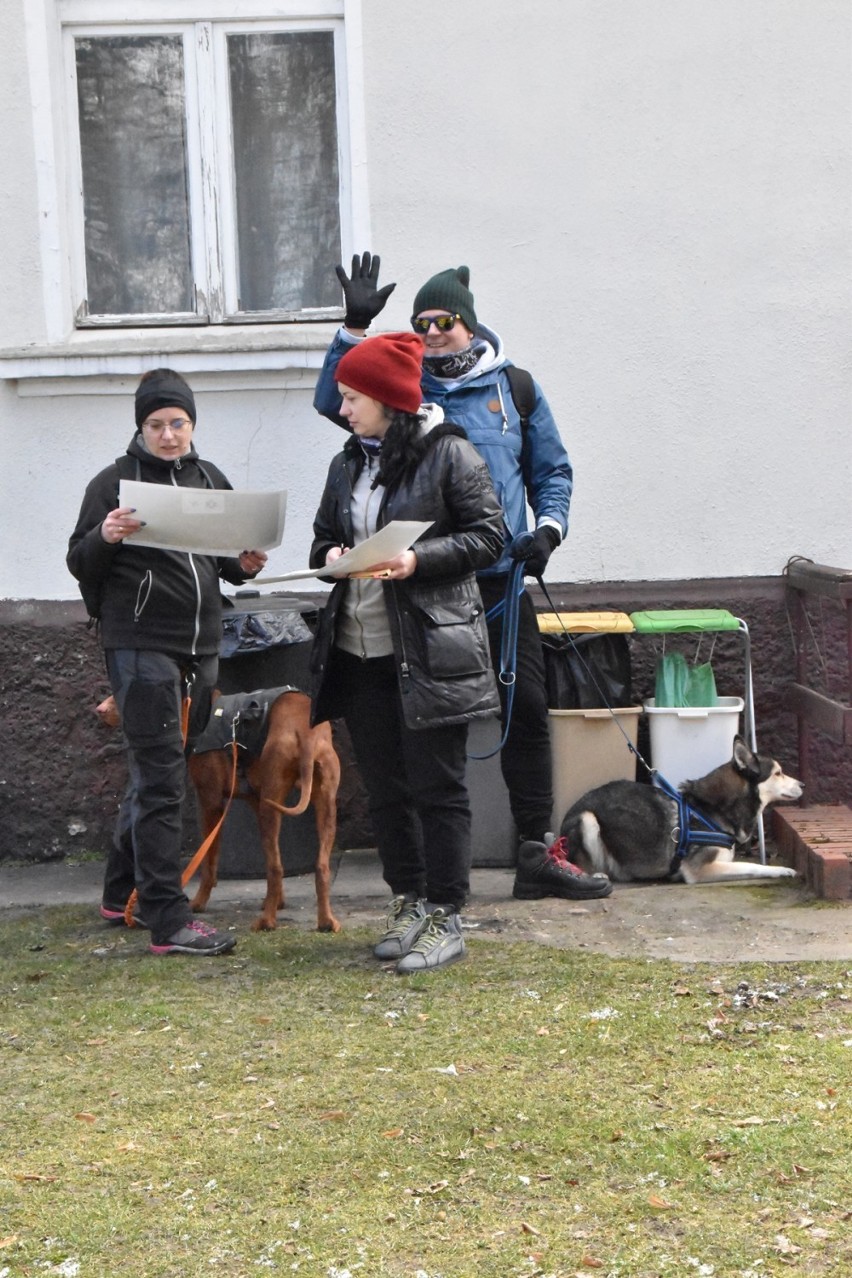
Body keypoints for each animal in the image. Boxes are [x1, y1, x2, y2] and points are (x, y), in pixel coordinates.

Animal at [95, 685, 342, 935]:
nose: (99, 709)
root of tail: (306, 731)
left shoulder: (210, 802)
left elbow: (209, 861)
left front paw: (198, 902)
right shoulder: (255, 801)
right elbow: (269, 858)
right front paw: (277, 901)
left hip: (272, 803)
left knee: (276, 868)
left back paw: (267, 922)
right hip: (323, 805)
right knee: (319, 866)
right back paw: (326, 921)